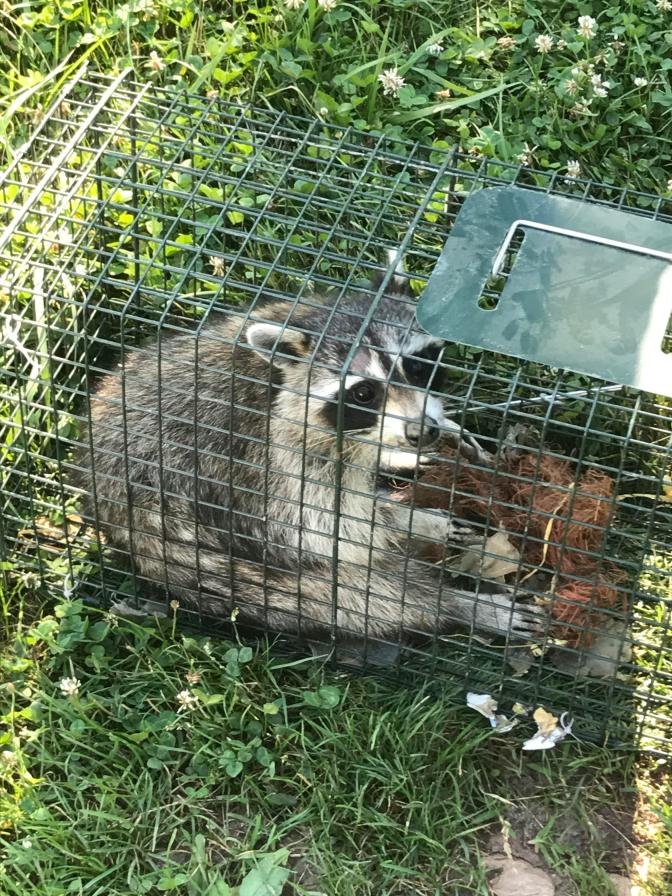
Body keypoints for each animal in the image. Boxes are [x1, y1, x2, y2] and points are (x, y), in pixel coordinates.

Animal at [76, 273, 546, 643]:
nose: (420, 432)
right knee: (346, 594)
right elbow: (324, 529)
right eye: (364, 393)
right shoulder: (263, 451)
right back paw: (457, 604)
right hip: (181, 527)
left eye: (416, 367)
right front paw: (413, 522)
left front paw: (408, 452)